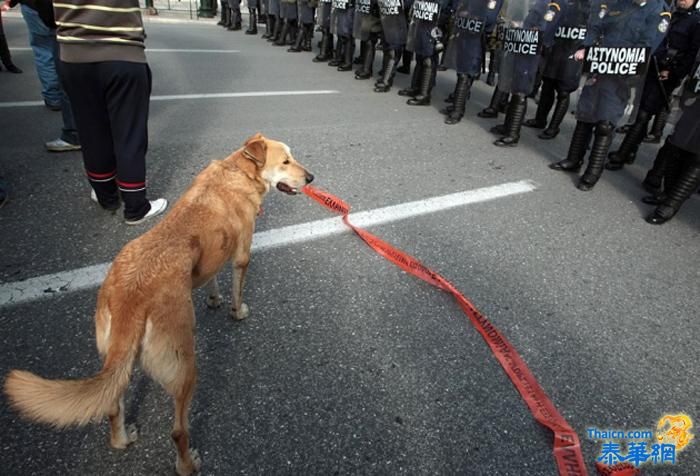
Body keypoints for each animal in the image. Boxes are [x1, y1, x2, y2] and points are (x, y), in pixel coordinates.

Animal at [3, 134, 314, 476]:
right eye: (285, 161)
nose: (311, 178)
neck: (237, 171)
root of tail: (130, 298)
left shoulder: (213, 256)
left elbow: (211, 279)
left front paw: (214, 299)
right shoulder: (241, 254)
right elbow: (237, 287)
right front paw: (237, 311)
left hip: (117, 361)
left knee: (113, 406)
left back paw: (123, 439)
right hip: (184, 365)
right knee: (178, 430)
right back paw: (187, 464)